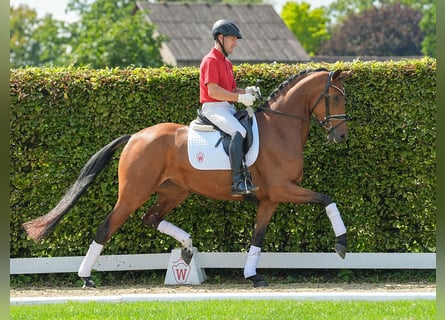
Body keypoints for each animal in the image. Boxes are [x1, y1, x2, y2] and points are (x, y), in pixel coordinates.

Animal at [23, 67, 350, 288]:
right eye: (334, 97)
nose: (342, 136)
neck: (281, 128)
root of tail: (135, 137)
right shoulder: (283, 189)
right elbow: (327, 199)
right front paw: (342, 244)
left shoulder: (270, 199)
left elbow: (257, 237)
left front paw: (252, 276)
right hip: (134, 192)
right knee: (108, 226)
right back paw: (86, 277)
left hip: (174, 191)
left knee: (151, 218)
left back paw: (187, 247)